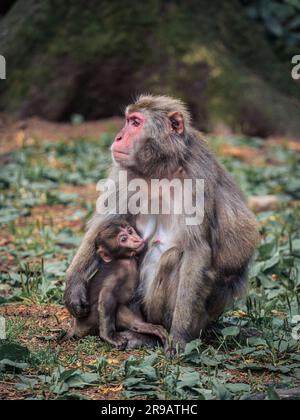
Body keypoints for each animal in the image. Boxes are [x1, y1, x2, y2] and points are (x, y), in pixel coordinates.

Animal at [64, 218, 168, 350]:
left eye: (130, 231)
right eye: (123, 239)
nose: (136, 239)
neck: (124, 258)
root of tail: (75, 327)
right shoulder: (118, 274)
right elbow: (106, 297)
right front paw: (108, 336)